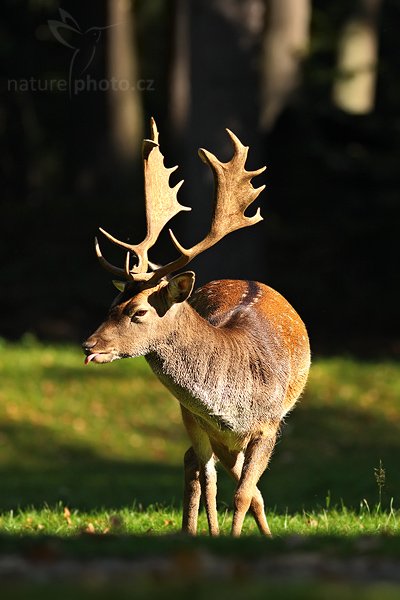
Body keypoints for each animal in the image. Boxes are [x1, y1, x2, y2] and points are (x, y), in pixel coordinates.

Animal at [83, 117, 310, 536]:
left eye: (138, 311)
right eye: (111, 305)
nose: (89, 345)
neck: (231, 403)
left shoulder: (268, 425)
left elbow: (244, 492)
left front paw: (237, 538)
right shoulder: (196, 419)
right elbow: (212, 480)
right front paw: (213, 535)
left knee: (237, 482)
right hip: (198, 425)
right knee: (196, 465)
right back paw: (194, 530)